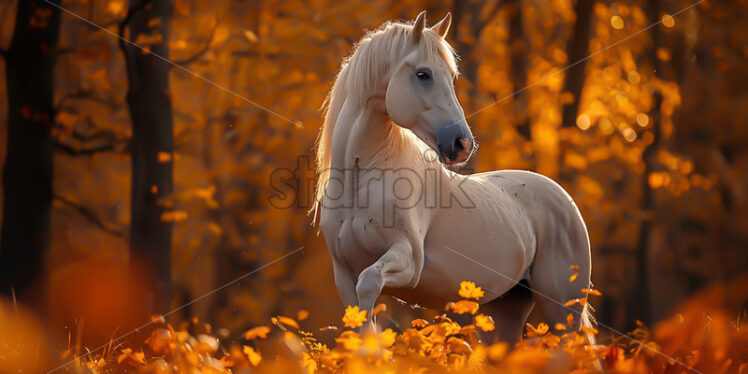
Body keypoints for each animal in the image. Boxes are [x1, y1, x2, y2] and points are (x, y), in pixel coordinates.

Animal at [312, 10, 592, 344]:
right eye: (423, 74)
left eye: (451, 76)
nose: (462, 144)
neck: (359, 183)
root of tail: (567, 203)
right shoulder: (344, 275)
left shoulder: (408, 261)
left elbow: (369, 284)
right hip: (506, 310)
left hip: (563, 311)